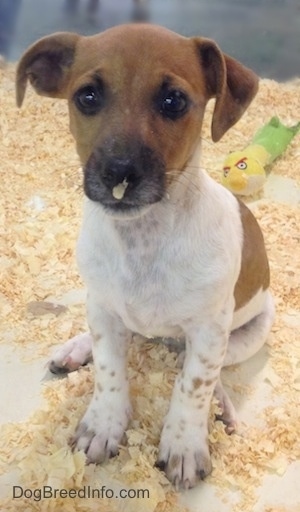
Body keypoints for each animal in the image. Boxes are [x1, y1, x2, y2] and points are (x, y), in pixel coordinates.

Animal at [16, 23, 274, 488]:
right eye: (87, 96)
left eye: (173, 101)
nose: (120, 172)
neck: (144, 239)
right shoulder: (102, 308)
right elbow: (109, 371)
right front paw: (103, 423)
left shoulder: (209, 332)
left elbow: (193, 384)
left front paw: (185, 443)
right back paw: (76, 348)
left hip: (249, 332)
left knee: (210, 371)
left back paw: (222, 408)